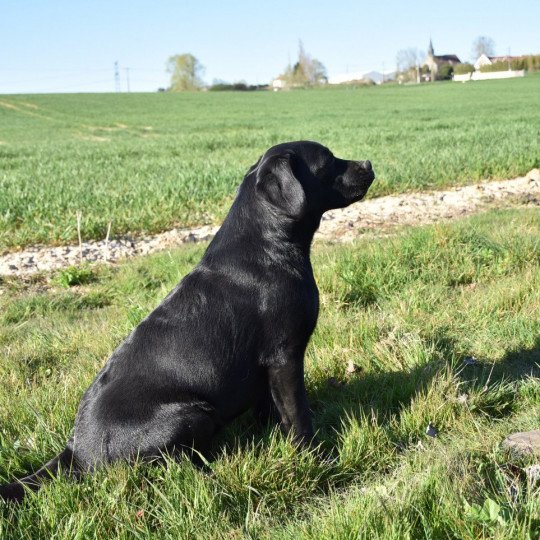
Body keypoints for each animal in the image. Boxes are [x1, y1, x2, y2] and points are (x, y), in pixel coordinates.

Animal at [0, 140, 376, 502]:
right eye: (327, 160)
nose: (369, 163)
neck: (269, 244)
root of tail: (76, 453)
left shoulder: (265, 368)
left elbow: (271, 409)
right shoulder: (284, 355)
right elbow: (298, 414)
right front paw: (316, 457)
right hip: (192, 412)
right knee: (169, 465)